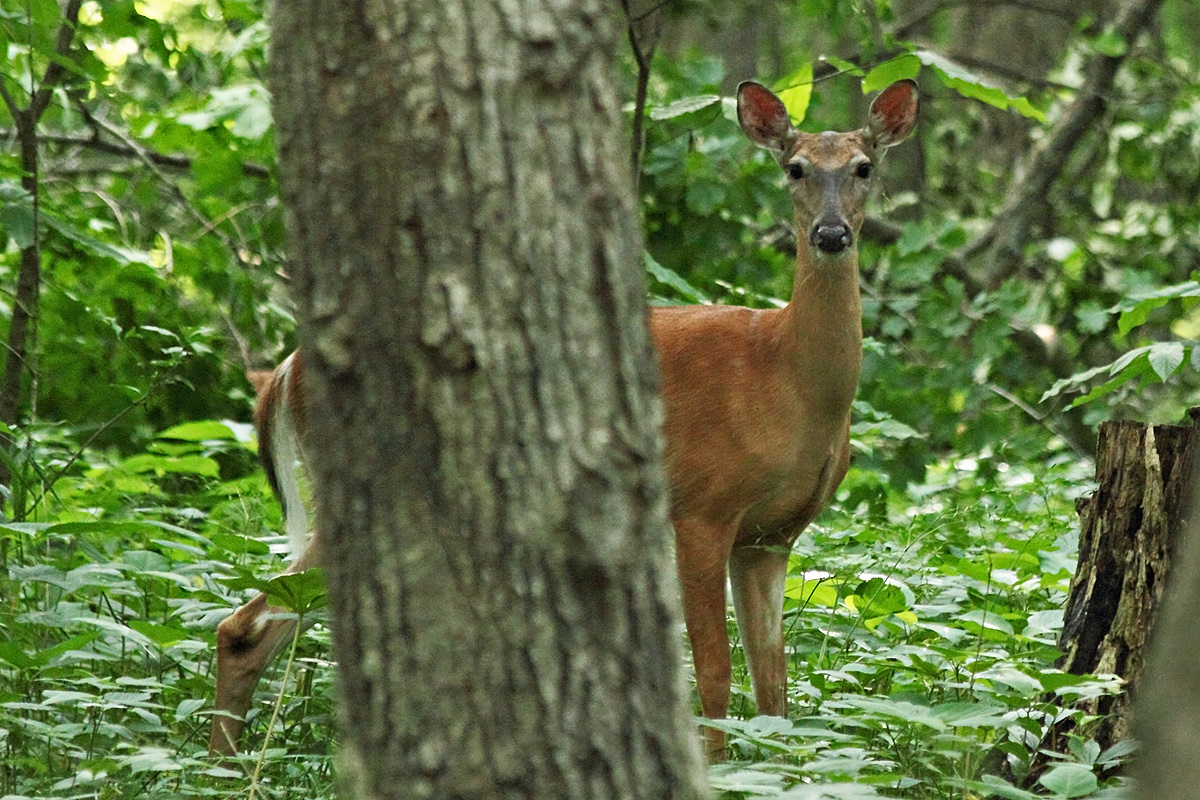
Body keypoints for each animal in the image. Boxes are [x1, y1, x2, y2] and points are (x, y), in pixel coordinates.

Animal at [208, 78, 918, 760]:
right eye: (795, 168)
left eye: (863, 166)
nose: (831, 234)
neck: (785, 378)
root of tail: (288, 369)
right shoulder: (701, 507)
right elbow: (714, 673)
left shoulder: (771, 537)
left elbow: (775, 689)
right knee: (245, 624)